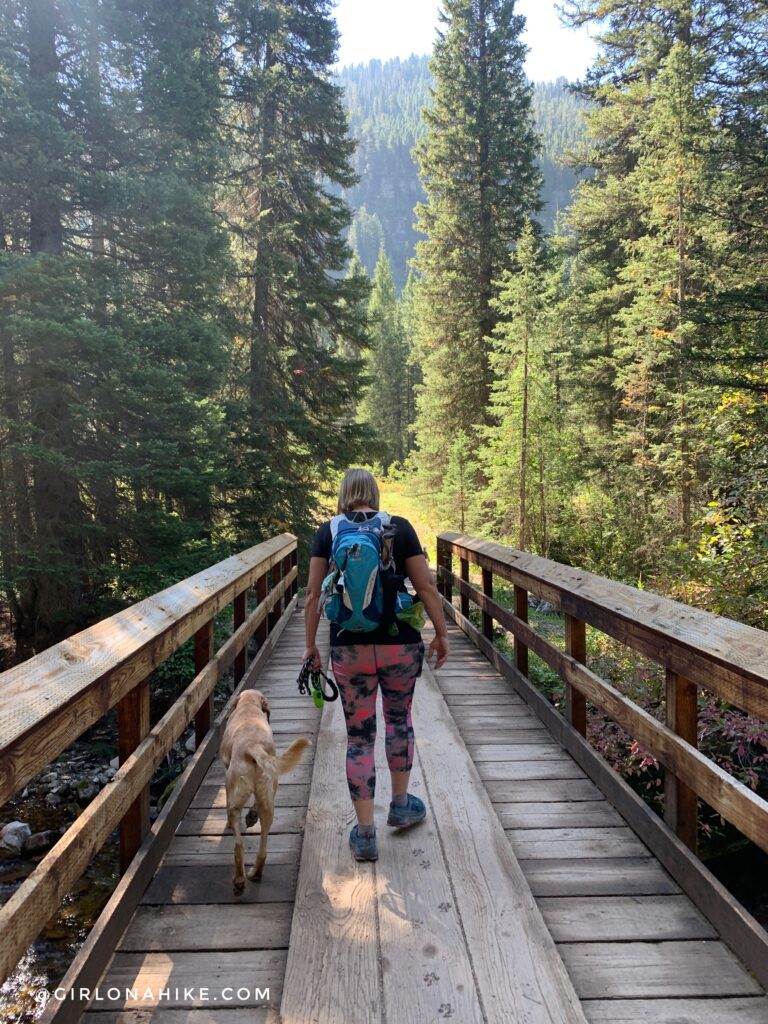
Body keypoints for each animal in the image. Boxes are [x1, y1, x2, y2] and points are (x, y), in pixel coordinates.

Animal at [219, 692, 309, 892]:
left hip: (234, 796)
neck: (249, 706)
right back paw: (255, 873)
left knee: (238, 844)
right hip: (269, 804)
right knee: (263, 849)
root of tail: (253, 747)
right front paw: (251, 815)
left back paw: (239, 880)